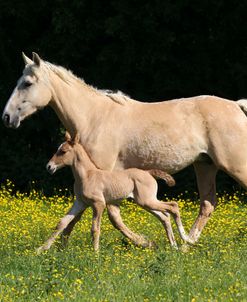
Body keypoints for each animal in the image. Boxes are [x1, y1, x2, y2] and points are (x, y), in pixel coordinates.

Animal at [38, 133, 189, 252]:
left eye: (63, 151)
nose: (49, 167)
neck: (87, 175)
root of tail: (149, 173)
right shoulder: (80, 202)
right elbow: (62, 223)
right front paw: (41, 249)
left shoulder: (99, 204)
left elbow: (95, 228)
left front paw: (95, 253)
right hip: (146, 202)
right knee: (165, 216)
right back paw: (174, 246)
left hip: (146, 201)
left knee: (173, 206)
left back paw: (186, 239)